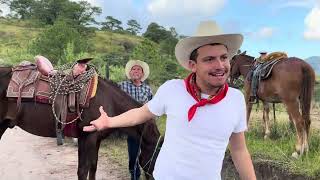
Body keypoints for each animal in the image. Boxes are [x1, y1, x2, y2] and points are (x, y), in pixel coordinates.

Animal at [0, 66, 162, 180]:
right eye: (160, 153)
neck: (109, 102)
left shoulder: (95, 139)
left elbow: (93, 167)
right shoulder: (87, 137)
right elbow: (83, 170)